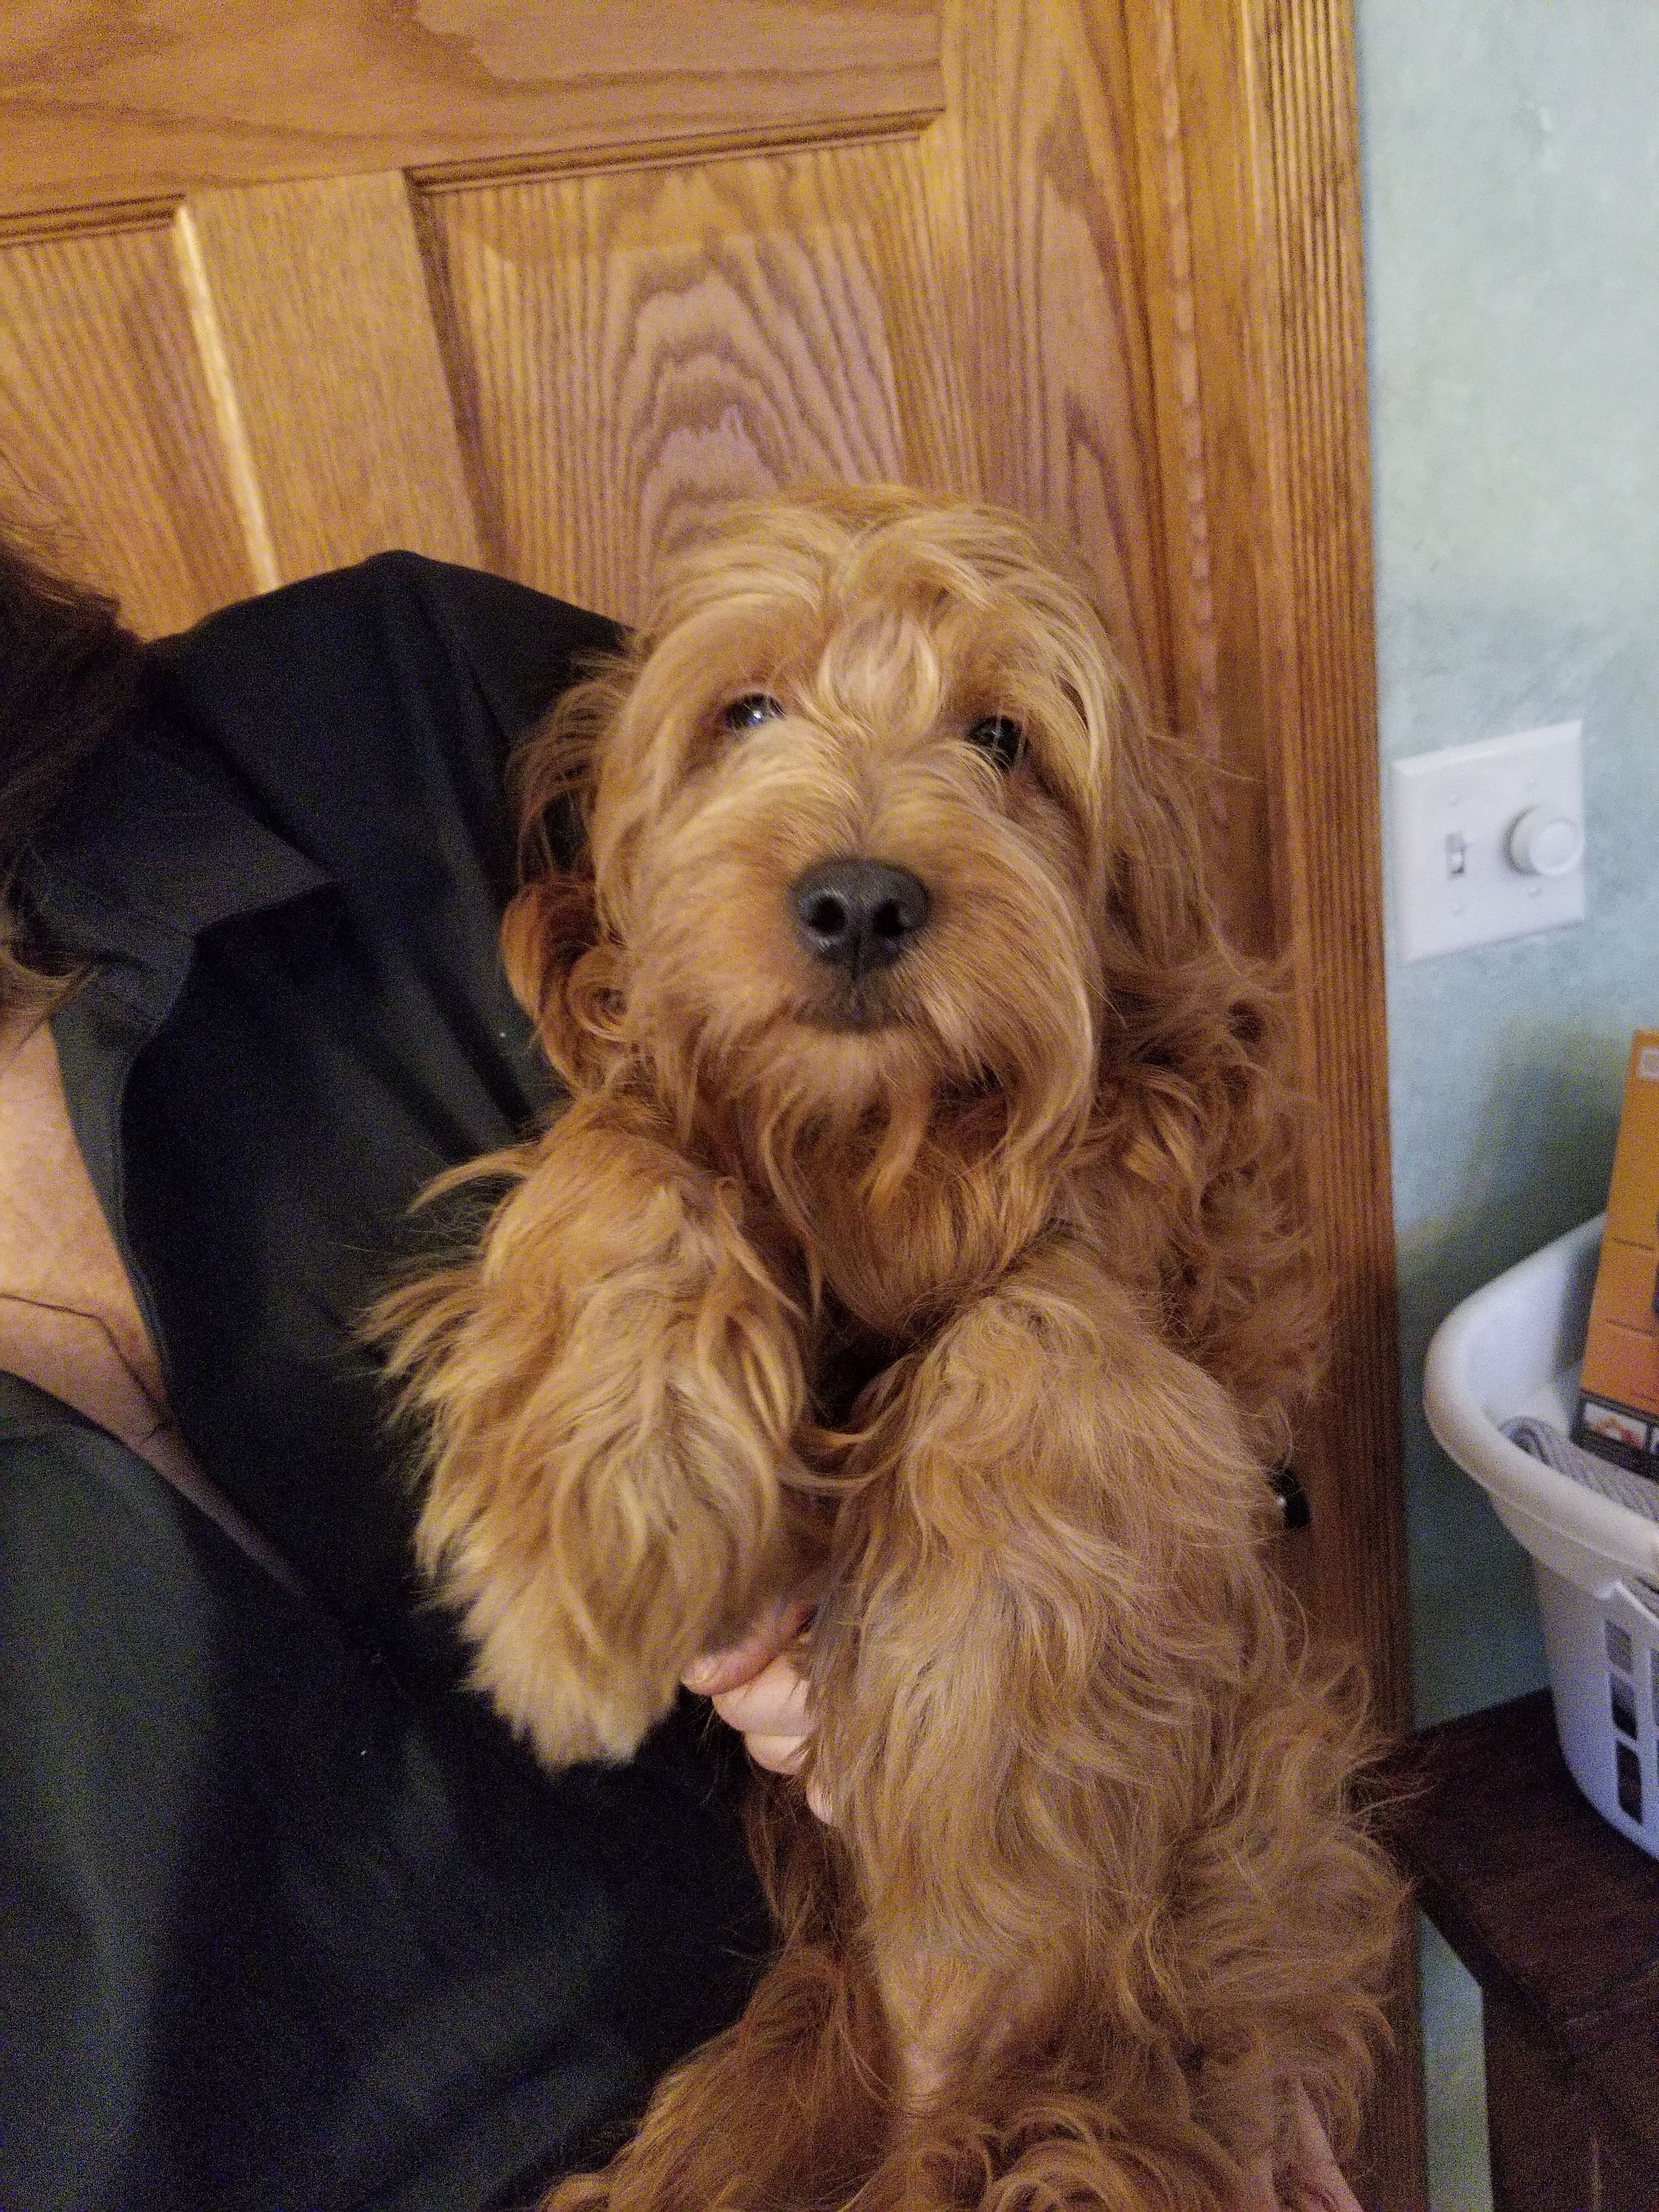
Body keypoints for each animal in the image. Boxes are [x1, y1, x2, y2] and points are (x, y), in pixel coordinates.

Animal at [379, 488, 1401, 2210]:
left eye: (1002, 738)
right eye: (746, 713)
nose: (859, 900)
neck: (880, 1152)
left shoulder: (1184, 1286)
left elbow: (1037, 1332)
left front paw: (981, 1770)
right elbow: (628, 1160)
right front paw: (595, 1526)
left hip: (1173, 2019)